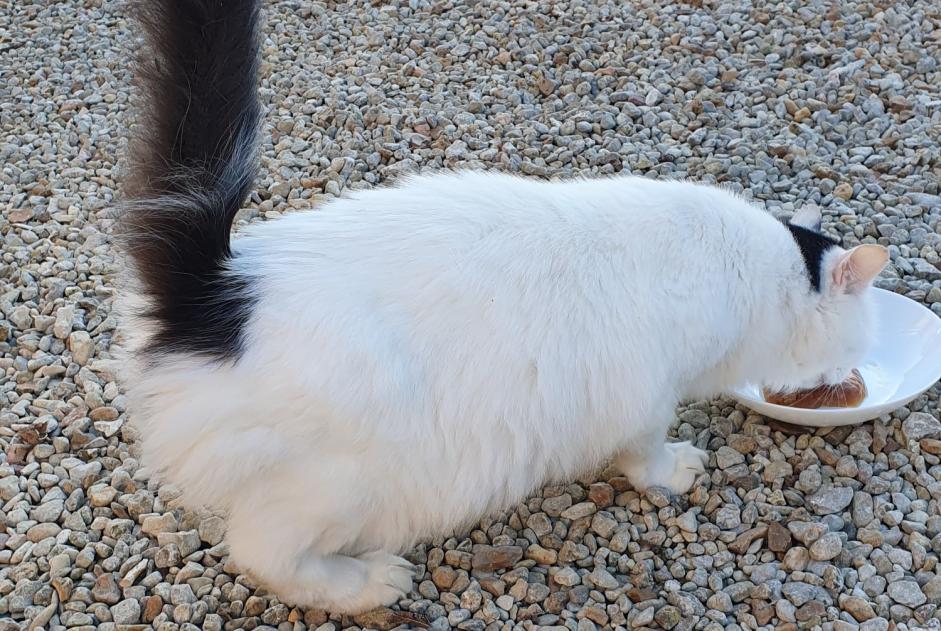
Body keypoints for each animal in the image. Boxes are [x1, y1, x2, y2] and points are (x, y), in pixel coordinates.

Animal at [115, 0, 888, 616]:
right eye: (853, 349)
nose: (849, 377)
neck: (746, 268)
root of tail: (219, 294)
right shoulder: (645, 390)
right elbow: (647, 450)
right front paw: (670, 472)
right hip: (340, 482)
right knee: (262, 551)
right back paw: (363, 584)